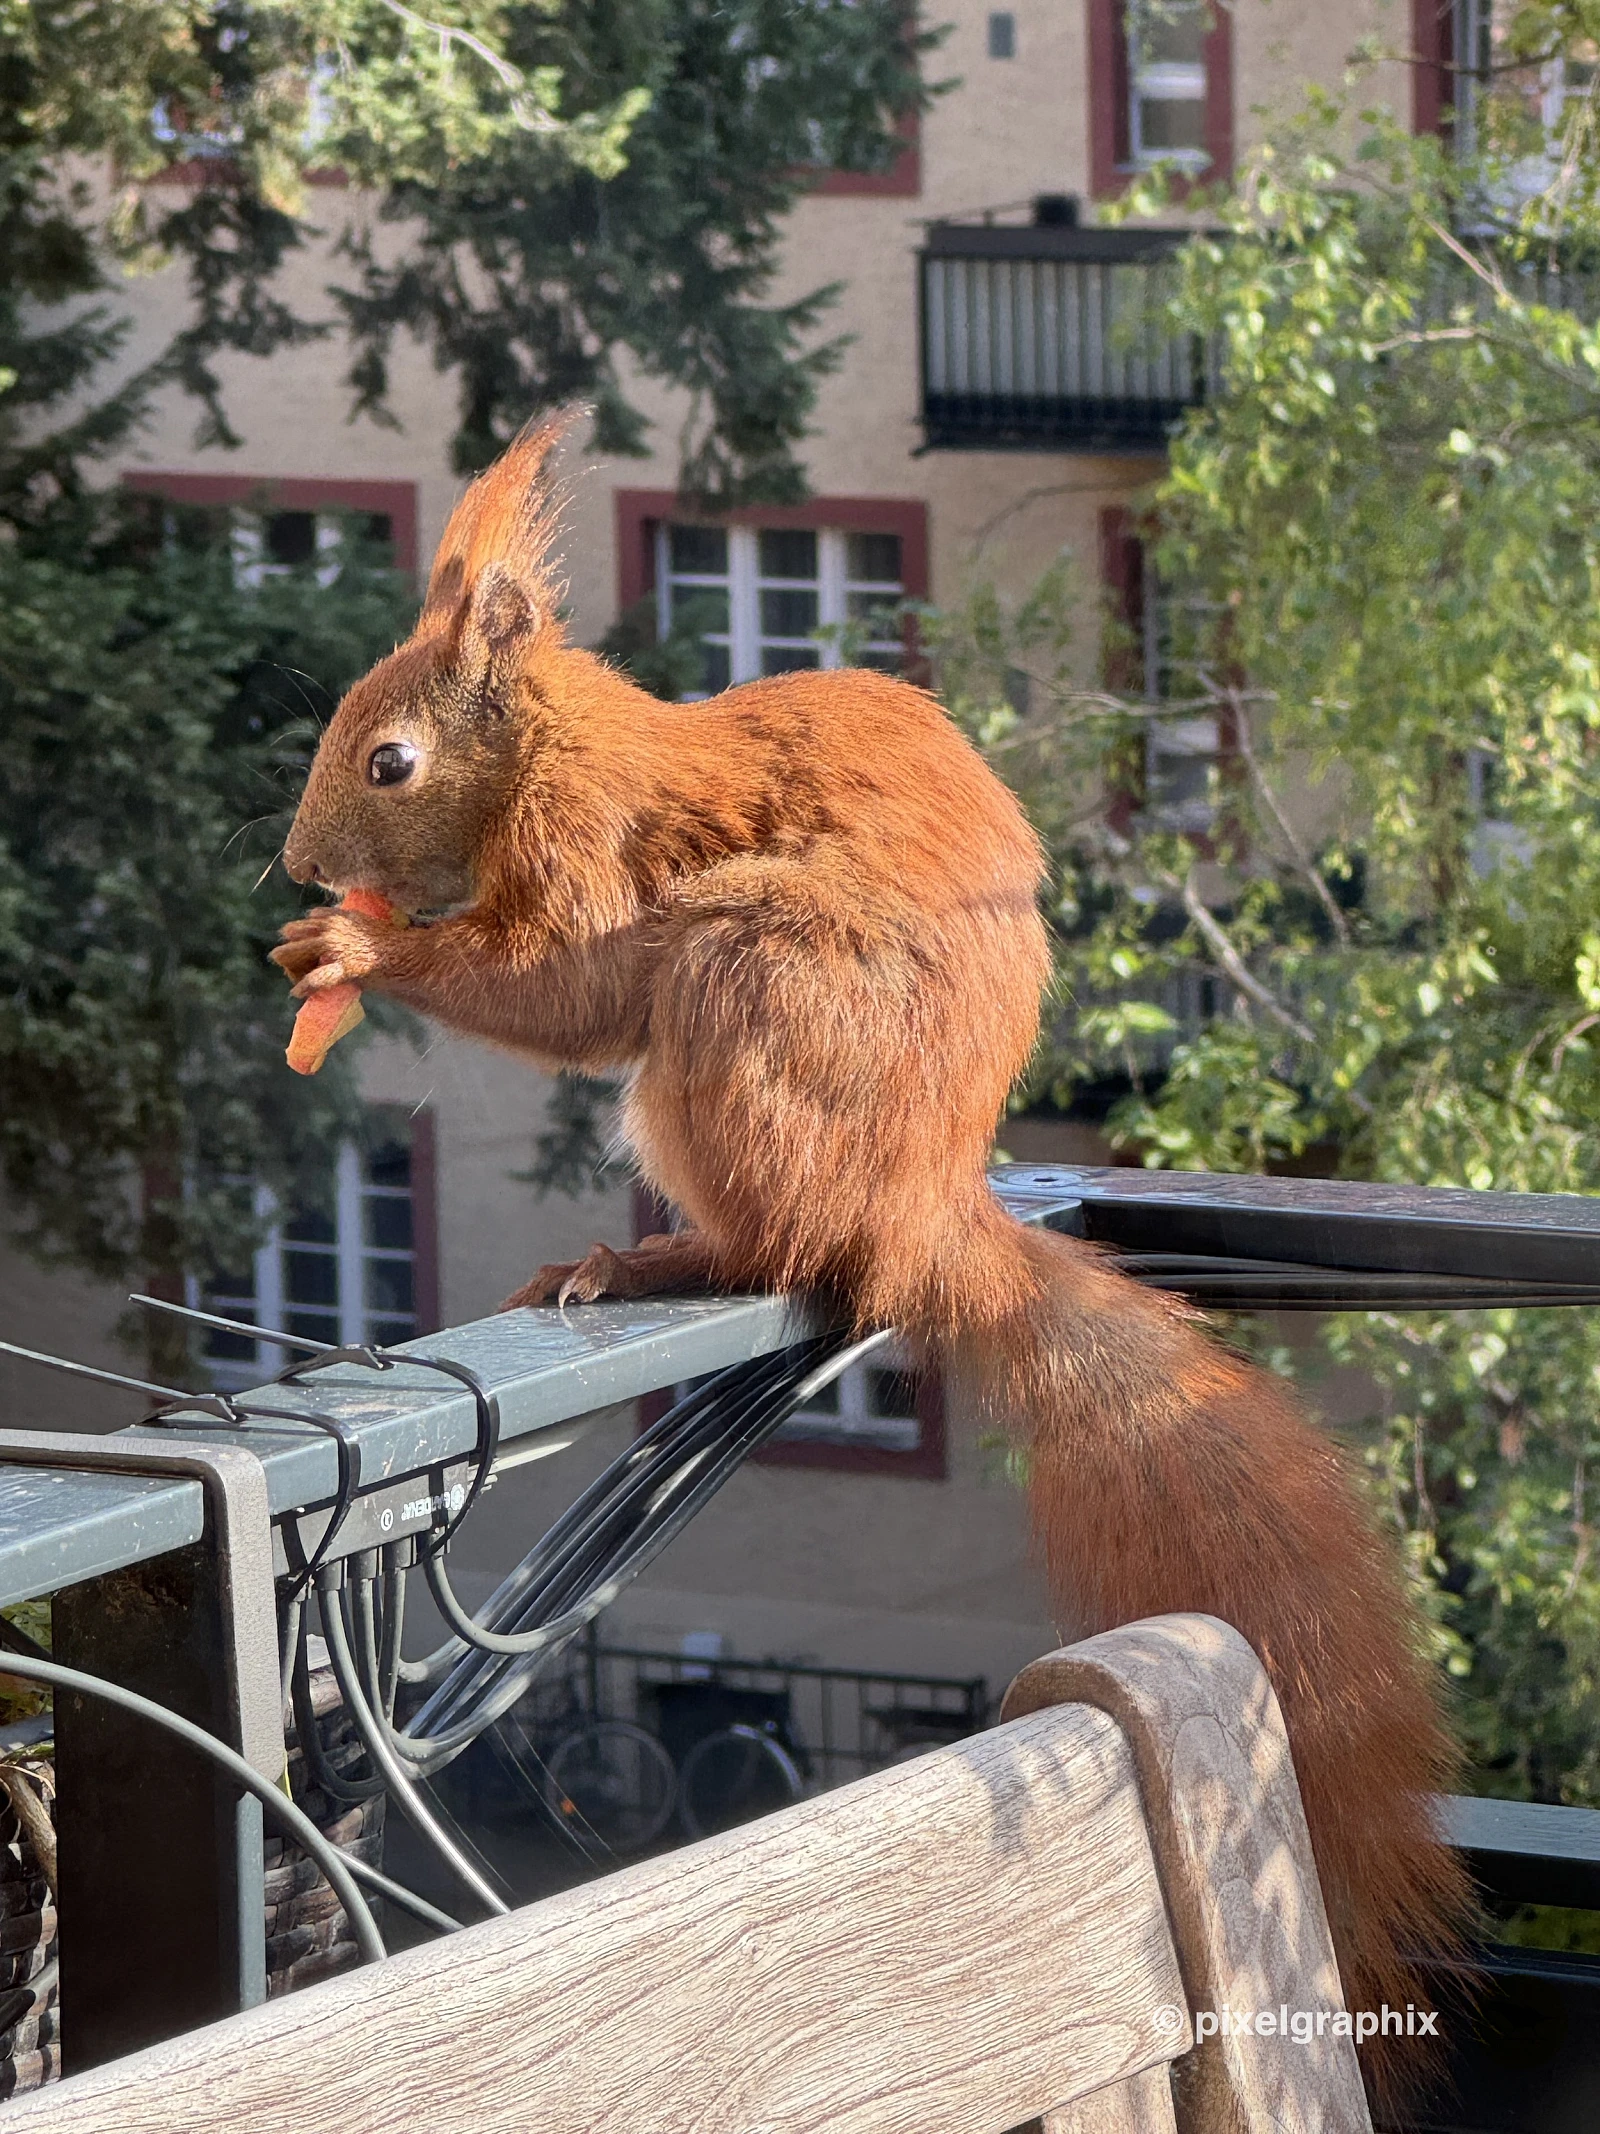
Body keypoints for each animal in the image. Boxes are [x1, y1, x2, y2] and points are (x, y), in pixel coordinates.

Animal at [273, 415, 1470, 2084]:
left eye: (390, 759)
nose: (302, 864)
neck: (554, 754)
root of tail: (924, 1210)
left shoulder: (594, 857)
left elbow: (566, 987)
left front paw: (366, 948)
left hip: (749, 974)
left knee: (789, 1245)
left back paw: (652, 1262)